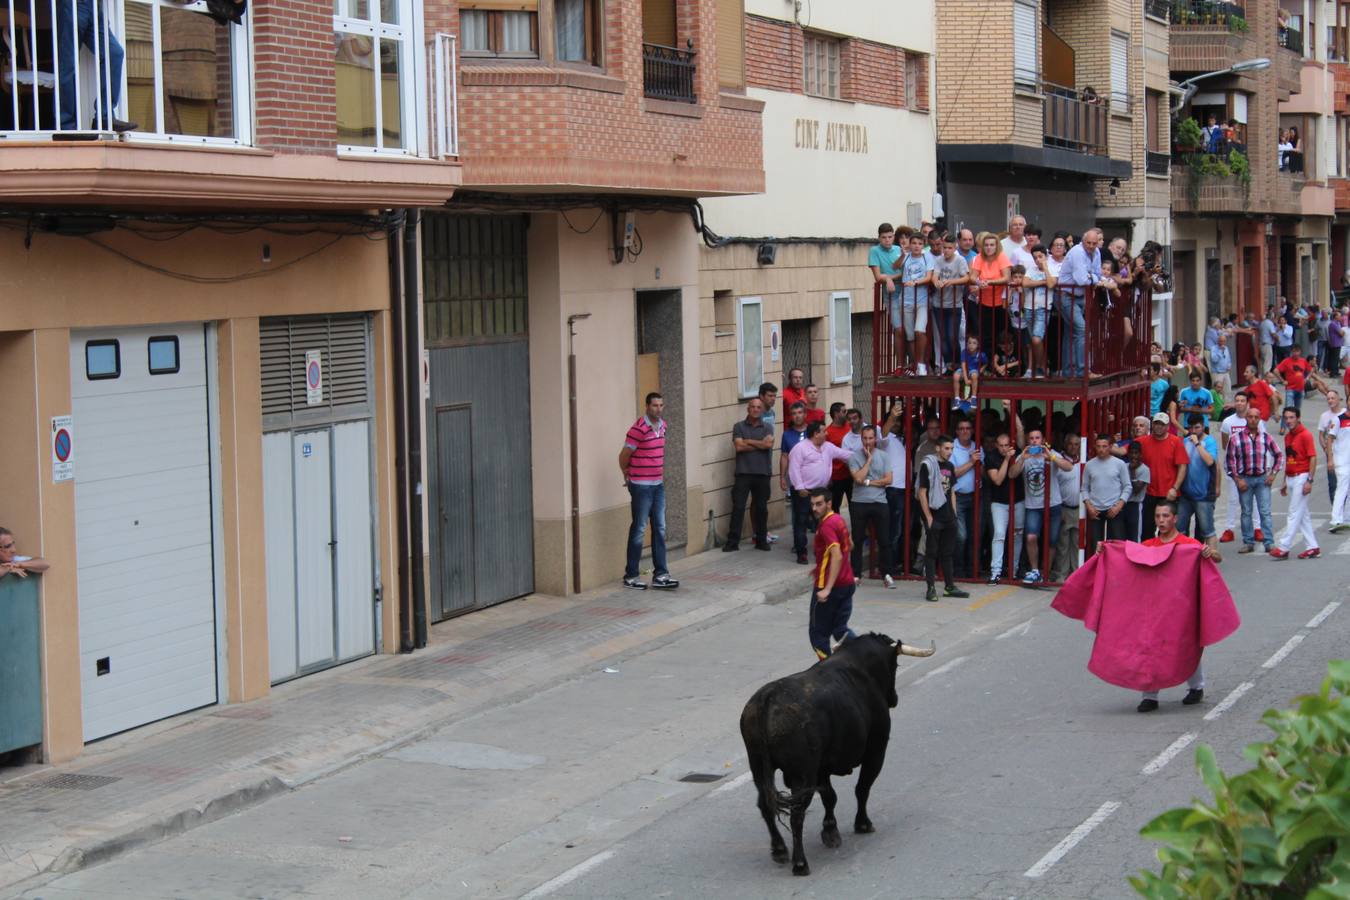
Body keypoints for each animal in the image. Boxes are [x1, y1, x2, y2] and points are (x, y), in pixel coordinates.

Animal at [739, 634, 939, 874]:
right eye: (895, 665)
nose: (894, 699)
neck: (860, 667)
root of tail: (766, 698)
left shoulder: (822, 767)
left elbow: (830, 797)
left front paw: (830, 831)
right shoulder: (876, 751)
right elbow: (862, 789)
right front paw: (862, 824)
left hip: (759, 768)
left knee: (765, 805)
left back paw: (779, 850)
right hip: (802, 775)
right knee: (797, 814)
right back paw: (800, 863)